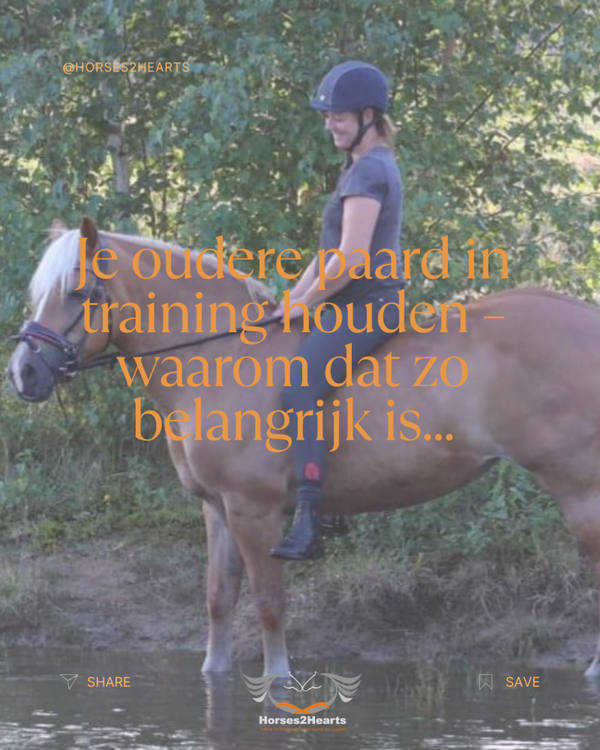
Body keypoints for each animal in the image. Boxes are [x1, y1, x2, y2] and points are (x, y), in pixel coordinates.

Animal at [8, 216, 600, 678]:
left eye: (80, 293)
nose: (23, 373)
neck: (220, 359)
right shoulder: (217, 510)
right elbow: (218, 602)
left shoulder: (256, 511)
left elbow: (270, 607)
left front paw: (278, 682)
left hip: (581, 490)